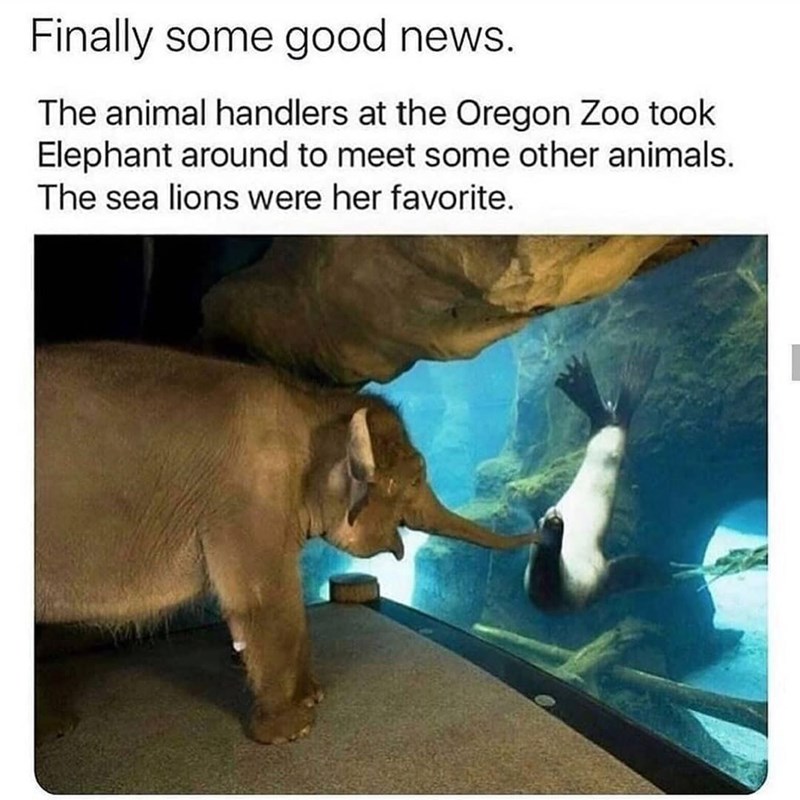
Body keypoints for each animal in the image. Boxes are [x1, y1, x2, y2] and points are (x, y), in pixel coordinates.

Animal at [35, 341, 539, 744]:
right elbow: (266, 601)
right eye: (416, 478)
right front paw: (291, 730)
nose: (542, 526)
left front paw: (313, 697)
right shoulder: (246, 498)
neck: (309, 402)